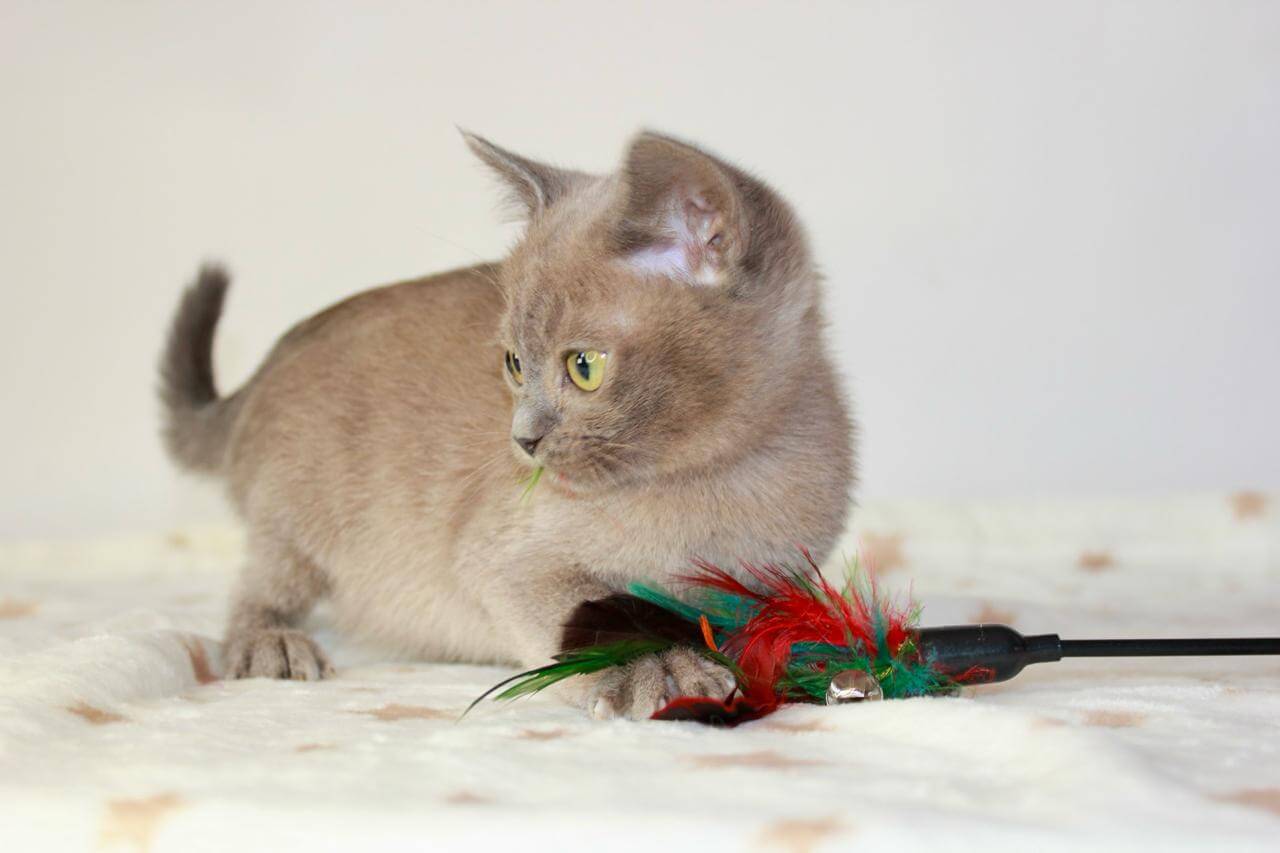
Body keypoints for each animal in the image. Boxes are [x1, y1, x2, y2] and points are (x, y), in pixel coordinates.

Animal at [159, 130, 855, 719]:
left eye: (583, 367)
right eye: (515, 363)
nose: (522, 439)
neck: (721, 473)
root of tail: (268, 361)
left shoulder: (762, 585)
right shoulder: (508, 561)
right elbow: (590, 616)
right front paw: (659, 671)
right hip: (296, 519)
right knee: (259, 586)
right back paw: (274, 644)